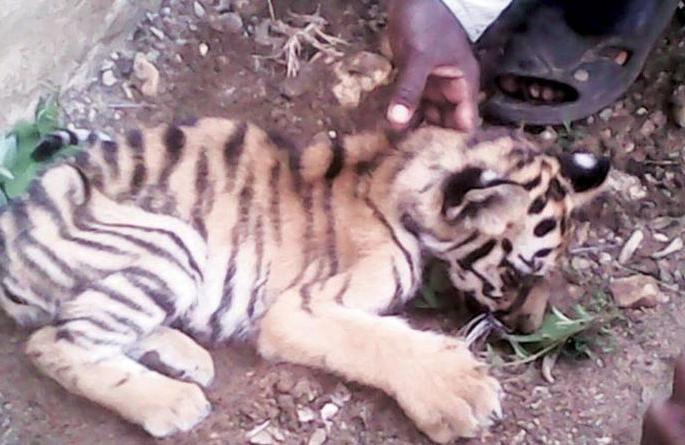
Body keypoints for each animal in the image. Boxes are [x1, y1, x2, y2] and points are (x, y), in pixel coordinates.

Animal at [0, 119, 609, 443]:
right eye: (516, 272)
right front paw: (458, 389)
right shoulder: (302, 308)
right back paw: (170, 400)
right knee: (55, 340)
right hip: (171, 243)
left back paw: (186, 357)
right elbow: (378, 340)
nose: (527, 326)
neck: (400, 174)